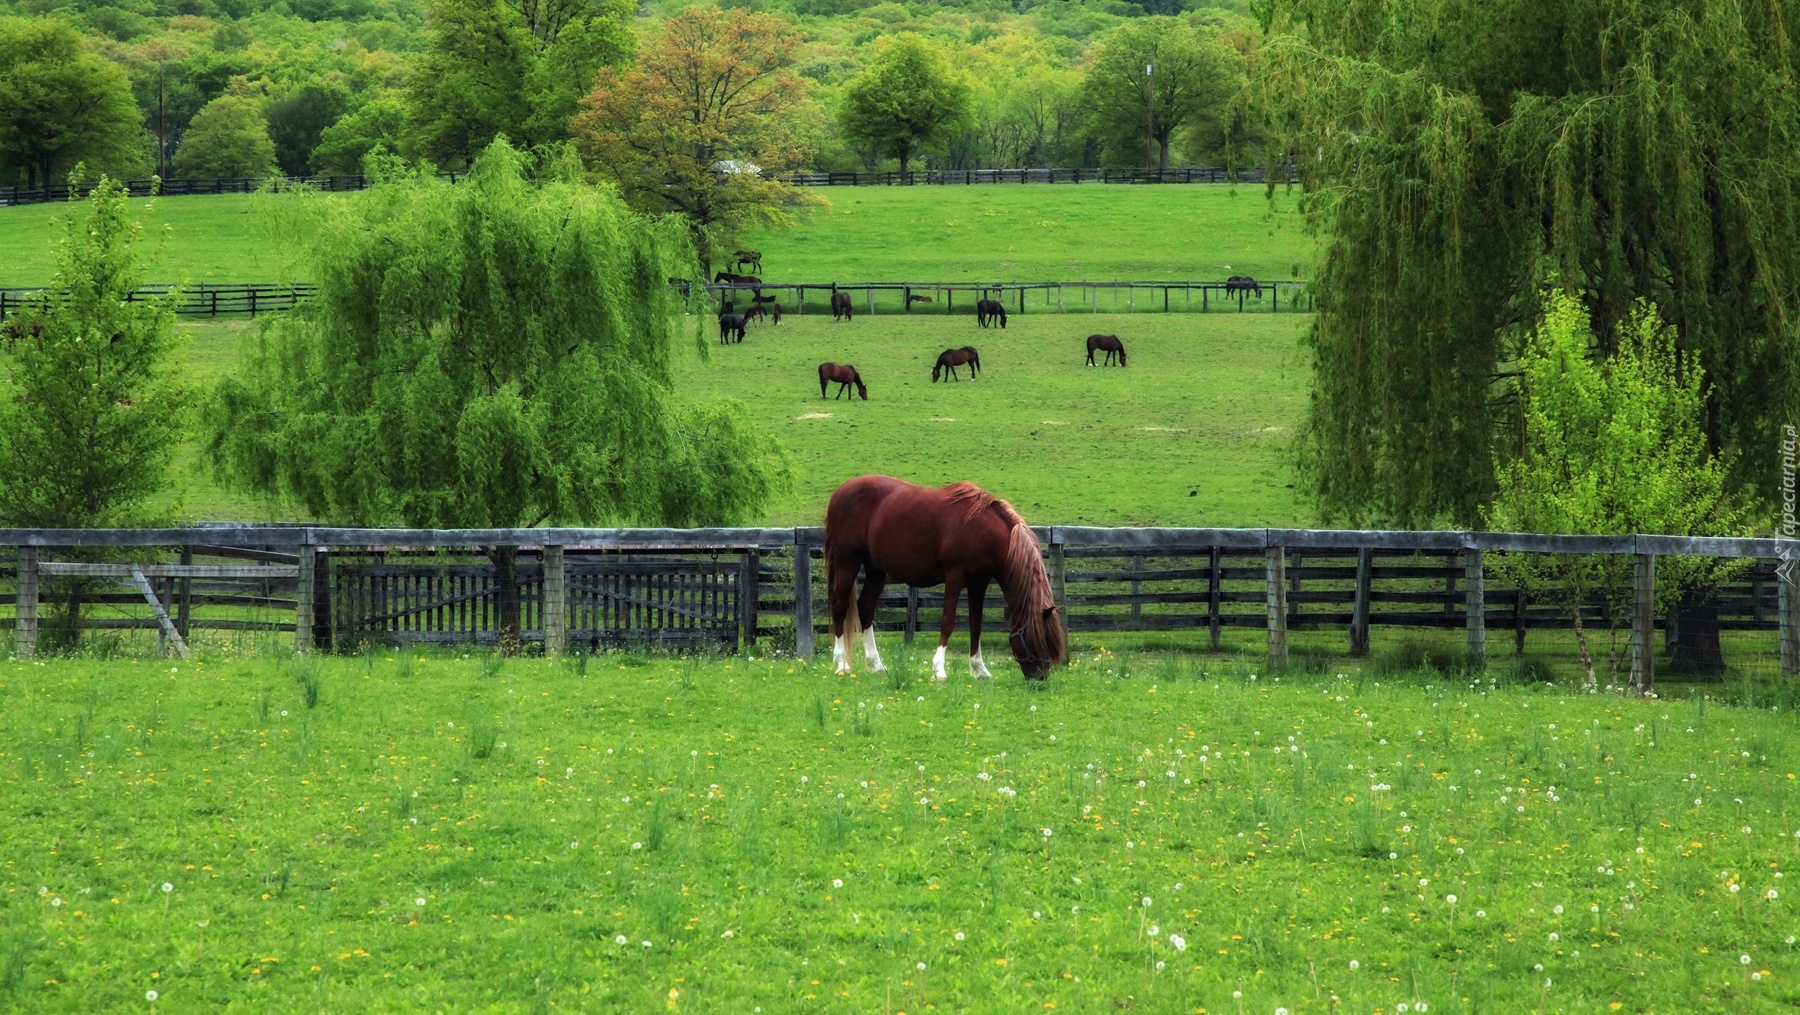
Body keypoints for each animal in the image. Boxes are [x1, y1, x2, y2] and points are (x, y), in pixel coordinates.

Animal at [828, 475, 1065, 680]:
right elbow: (948, 621)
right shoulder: (955, 577)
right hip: (848, 561)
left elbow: (976, 623)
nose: (1040, 678)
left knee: (866, 607)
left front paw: (979, 669)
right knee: (839, 606)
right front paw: (939, 670)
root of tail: (840, 491)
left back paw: (876, 665)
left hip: (876, 569)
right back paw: (841, 664)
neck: (981, 529)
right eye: (1038, 640)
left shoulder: (978, 583)